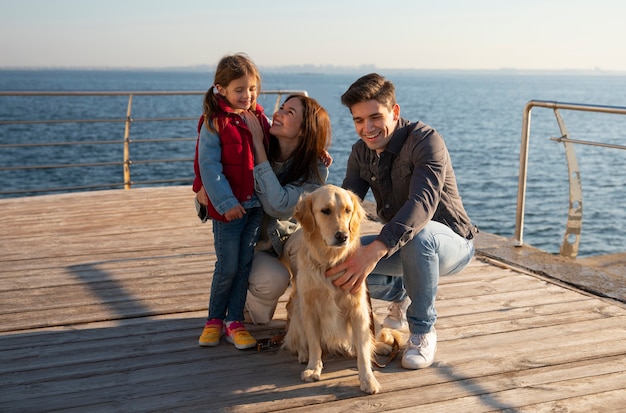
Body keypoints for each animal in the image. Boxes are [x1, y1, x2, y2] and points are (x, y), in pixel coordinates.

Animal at [280, 185, 382, 394]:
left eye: (348, 210)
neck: (329, 260)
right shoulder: (309, 308)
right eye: (325, 211)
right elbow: (314, 343)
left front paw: (368, 379)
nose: (342, 236)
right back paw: (303, 355)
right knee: (297, 340)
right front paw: (313, 368)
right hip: (296, 311)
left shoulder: (359, 310)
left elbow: (363, 348)